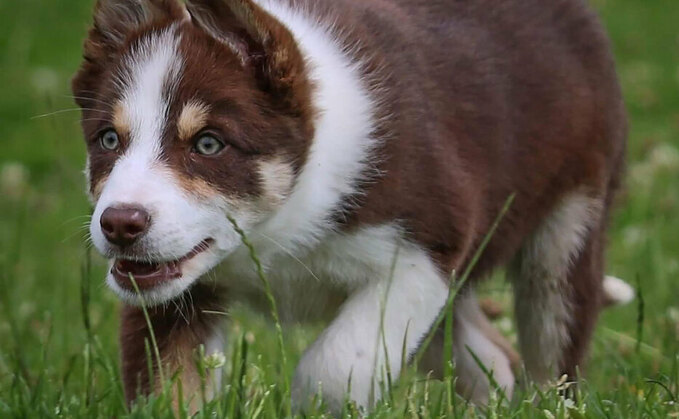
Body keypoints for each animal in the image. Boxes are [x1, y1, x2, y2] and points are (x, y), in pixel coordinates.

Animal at [71, 0, 628, 414]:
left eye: (208, 144)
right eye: (109, 139)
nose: (119, 224)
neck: (277, 229)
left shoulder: (426, 250)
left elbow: (334, 366)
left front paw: (312, 404)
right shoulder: (169, 294)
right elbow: (165, 387)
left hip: (568, 229)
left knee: (551, 355)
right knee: (493, 357)